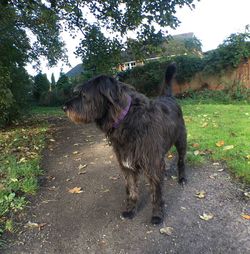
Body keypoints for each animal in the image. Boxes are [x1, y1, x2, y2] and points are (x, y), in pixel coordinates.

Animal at [63, 63, 187, 224]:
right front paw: (130, 210)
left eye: (83, 95)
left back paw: (182, 178)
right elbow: (132, 190)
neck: (127, 118)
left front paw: (157, 214)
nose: (64, 107)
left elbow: (156, 192)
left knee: (181, 161)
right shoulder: (127, 164)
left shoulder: (151, 163)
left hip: (181, 140)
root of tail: (168, 97)